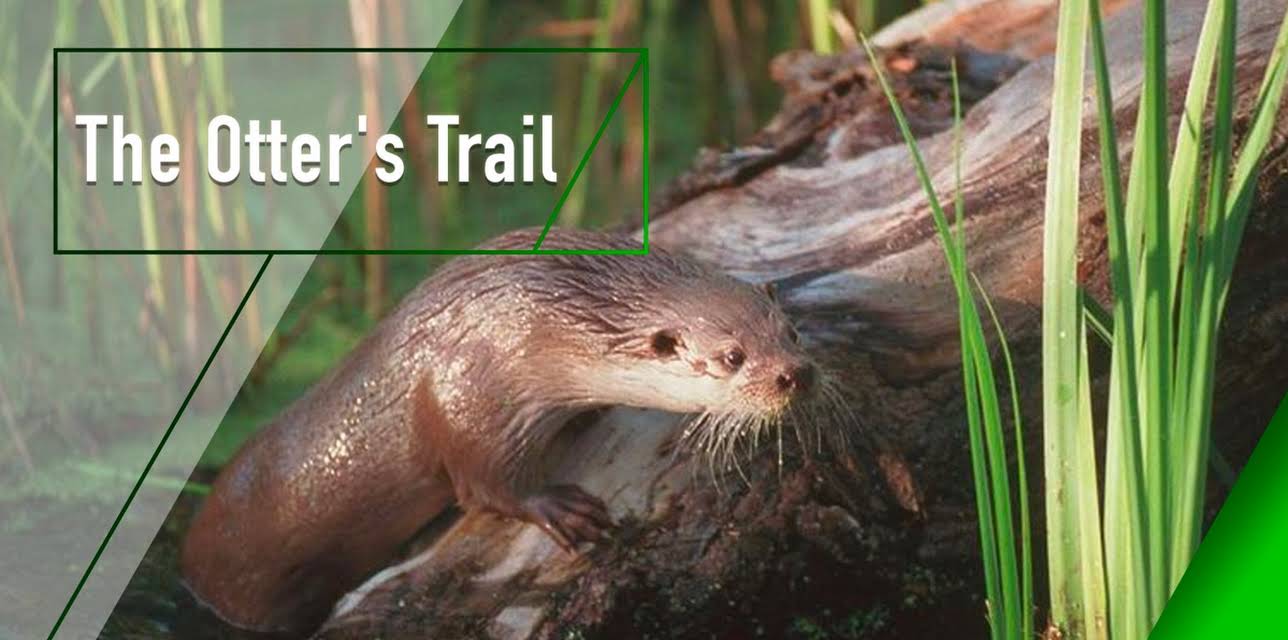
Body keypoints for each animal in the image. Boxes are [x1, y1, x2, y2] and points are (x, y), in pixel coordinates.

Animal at [181, 228, 818, 634]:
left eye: (789, 331)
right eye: (733, 357)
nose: (795, 374)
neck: (549, 318)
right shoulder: (471, 386)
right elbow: (485, 483)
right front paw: (563, 509)